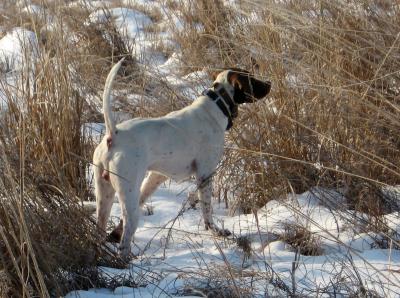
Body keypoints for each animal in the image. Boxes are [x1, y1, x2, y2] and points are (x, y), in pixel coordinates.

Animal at [92, 58, 270, 258]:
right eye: (252, 79)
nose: (269, 83)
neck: (215, 106)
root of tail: (113, 136)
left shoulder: (156, 177)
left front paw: (114, 234)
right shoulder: (205, 174)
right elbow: (207, 209)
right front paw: (215, 230)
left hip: (104, 195)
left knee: (100, 229)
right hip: (128, 198)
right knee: (125, 239)